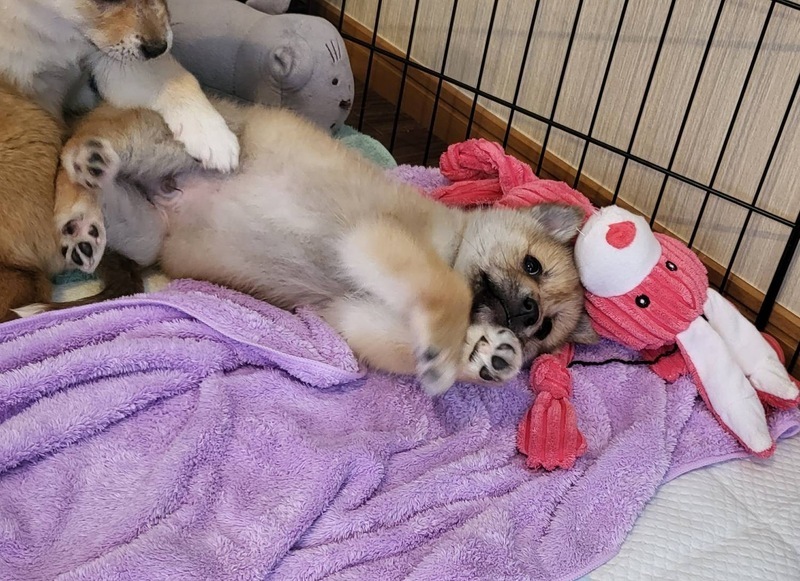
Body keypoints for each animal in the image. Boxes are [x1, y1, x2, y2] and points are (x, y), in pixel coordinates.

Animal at [56, 100, 598, 394]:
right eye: (533, 266)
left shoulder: (358, 317)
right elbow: (447, 291)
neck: (455, 244)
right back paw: (84, 176)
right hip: (173, 147)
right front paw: (454, 348)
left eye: (543, 329)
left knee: (107, 201)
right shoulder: (374, 239)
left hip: (145, 231)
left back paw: (85, 231)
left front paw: (485, 355)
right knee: (80, 147)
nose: (528, 312)